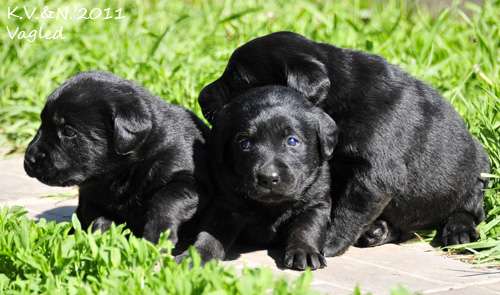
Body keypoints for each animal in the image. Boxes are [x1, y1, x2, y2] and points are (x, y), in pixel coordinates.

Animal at [23, 70, 211, 246]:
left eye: (69, 131)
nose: (29, 160)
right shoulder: (90, 196)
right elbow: (97, 217)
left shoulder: (187, 176)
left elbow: (166, 198)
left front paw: (158, 235)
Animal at [184, 85, 340, 270]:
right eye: (244, 143)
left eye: (292, 141)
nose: (268, 178)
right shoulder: (225, 205)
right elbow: (210, 234)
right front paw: (197, 255)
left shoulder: (316, 202)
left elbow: (307, 228)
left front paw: (305, 252)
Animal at [197, 31, 490, 256]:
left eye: (238, 80)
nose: (200, 97)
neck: (341, 93)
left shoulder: (374, 176)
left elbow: (348, 212)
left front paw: (325, 244)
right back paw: (379, 231)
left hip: (478, 170)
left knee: (470, 208)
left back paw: (459, 231)